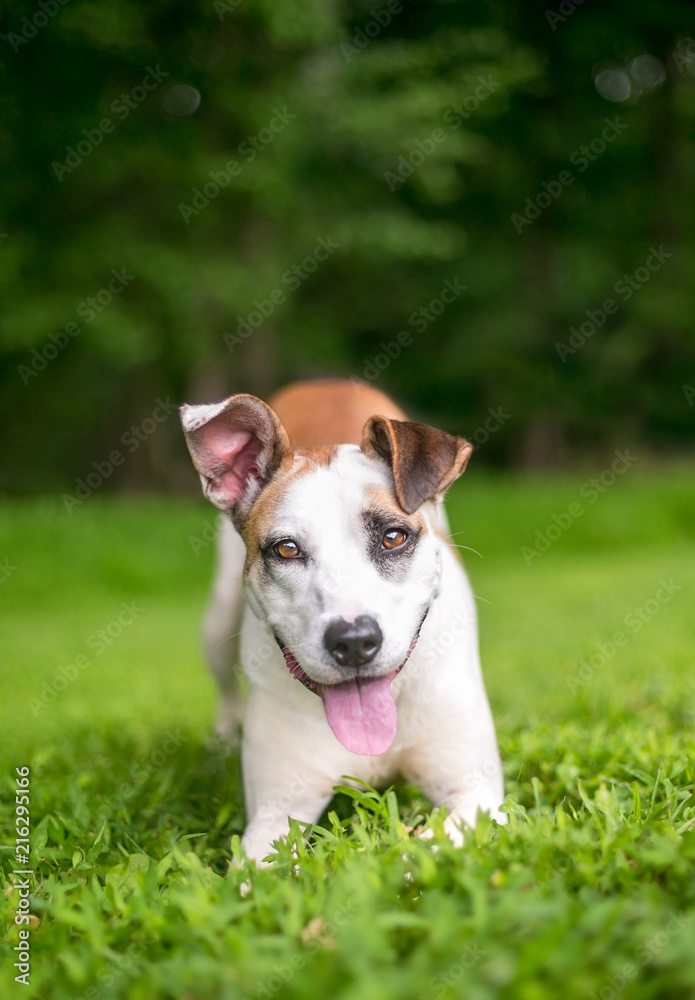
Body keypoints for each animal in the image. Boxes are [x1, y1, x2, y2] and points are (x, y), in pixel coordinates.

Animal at [181, 378, 506, 864]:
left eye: (393, 537)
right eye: (286, 549)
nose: (354, 641)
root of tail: (324, 381)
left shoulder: (476, 794)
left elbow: (426, 848)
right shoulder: (272, 820)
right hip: (218, 615)